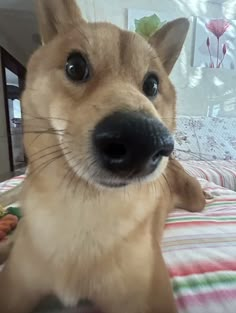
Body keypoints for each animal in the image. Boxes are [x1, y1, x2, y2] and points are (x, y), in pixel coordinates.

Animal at [0, 0, 205, 312]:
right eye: (75, 66)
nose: (143, 139)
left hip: (196, 198)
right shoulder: (14, 290)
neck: (86, 206)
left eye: (152, 85)